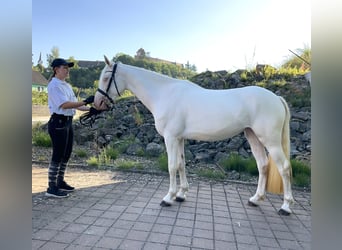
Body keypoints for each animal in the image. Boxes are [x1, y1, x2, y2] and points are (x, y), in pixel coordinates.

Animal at [95, 56, 296, 215]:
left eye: (106, 77)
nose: (97, 102)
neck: (165, 94)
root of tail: (276, 98)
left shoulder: (170, 138)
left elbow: (172, 166)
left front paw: (168, 197)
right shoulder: (179, 138)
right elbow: (181, 164)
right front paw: (181, 194)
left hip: (270, 141)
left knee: (284, 167)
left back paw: (286, 207)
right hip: (253, 136)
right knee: (263, 165)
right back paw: (256, 199)